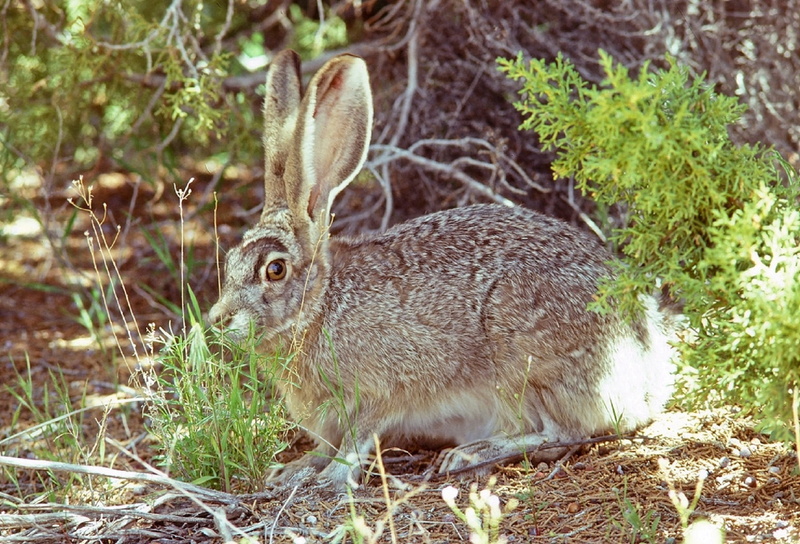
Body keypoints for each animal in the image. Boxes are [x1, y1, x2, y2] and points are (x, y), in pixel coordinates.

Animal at [208, 49, 678, 489]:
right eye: (229, 263)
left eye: (275, 270)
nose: (217, 319)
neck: (321, 305)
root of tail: (647, 372)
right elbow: (323, 446)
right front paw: (292, 470)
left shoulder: (384, 389)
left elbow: (358, 439)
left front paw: (332, 477)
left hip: (523, 354)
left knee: (561, 432)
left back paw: (472, 454)